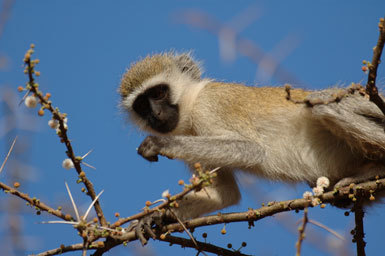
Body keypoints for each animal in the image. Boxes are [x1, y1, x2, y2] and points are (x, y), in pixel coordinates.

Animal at [118, 51, 384, 242]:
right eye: (142, 106)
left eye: (159, 93)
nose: (155, 115)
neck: (191, 103)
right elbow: (223, 194)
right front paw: (156, 217)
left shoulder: (210, 105)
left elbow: (251, 150)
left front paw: (159, 143)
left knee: (323, 104)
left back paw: (373, 171)